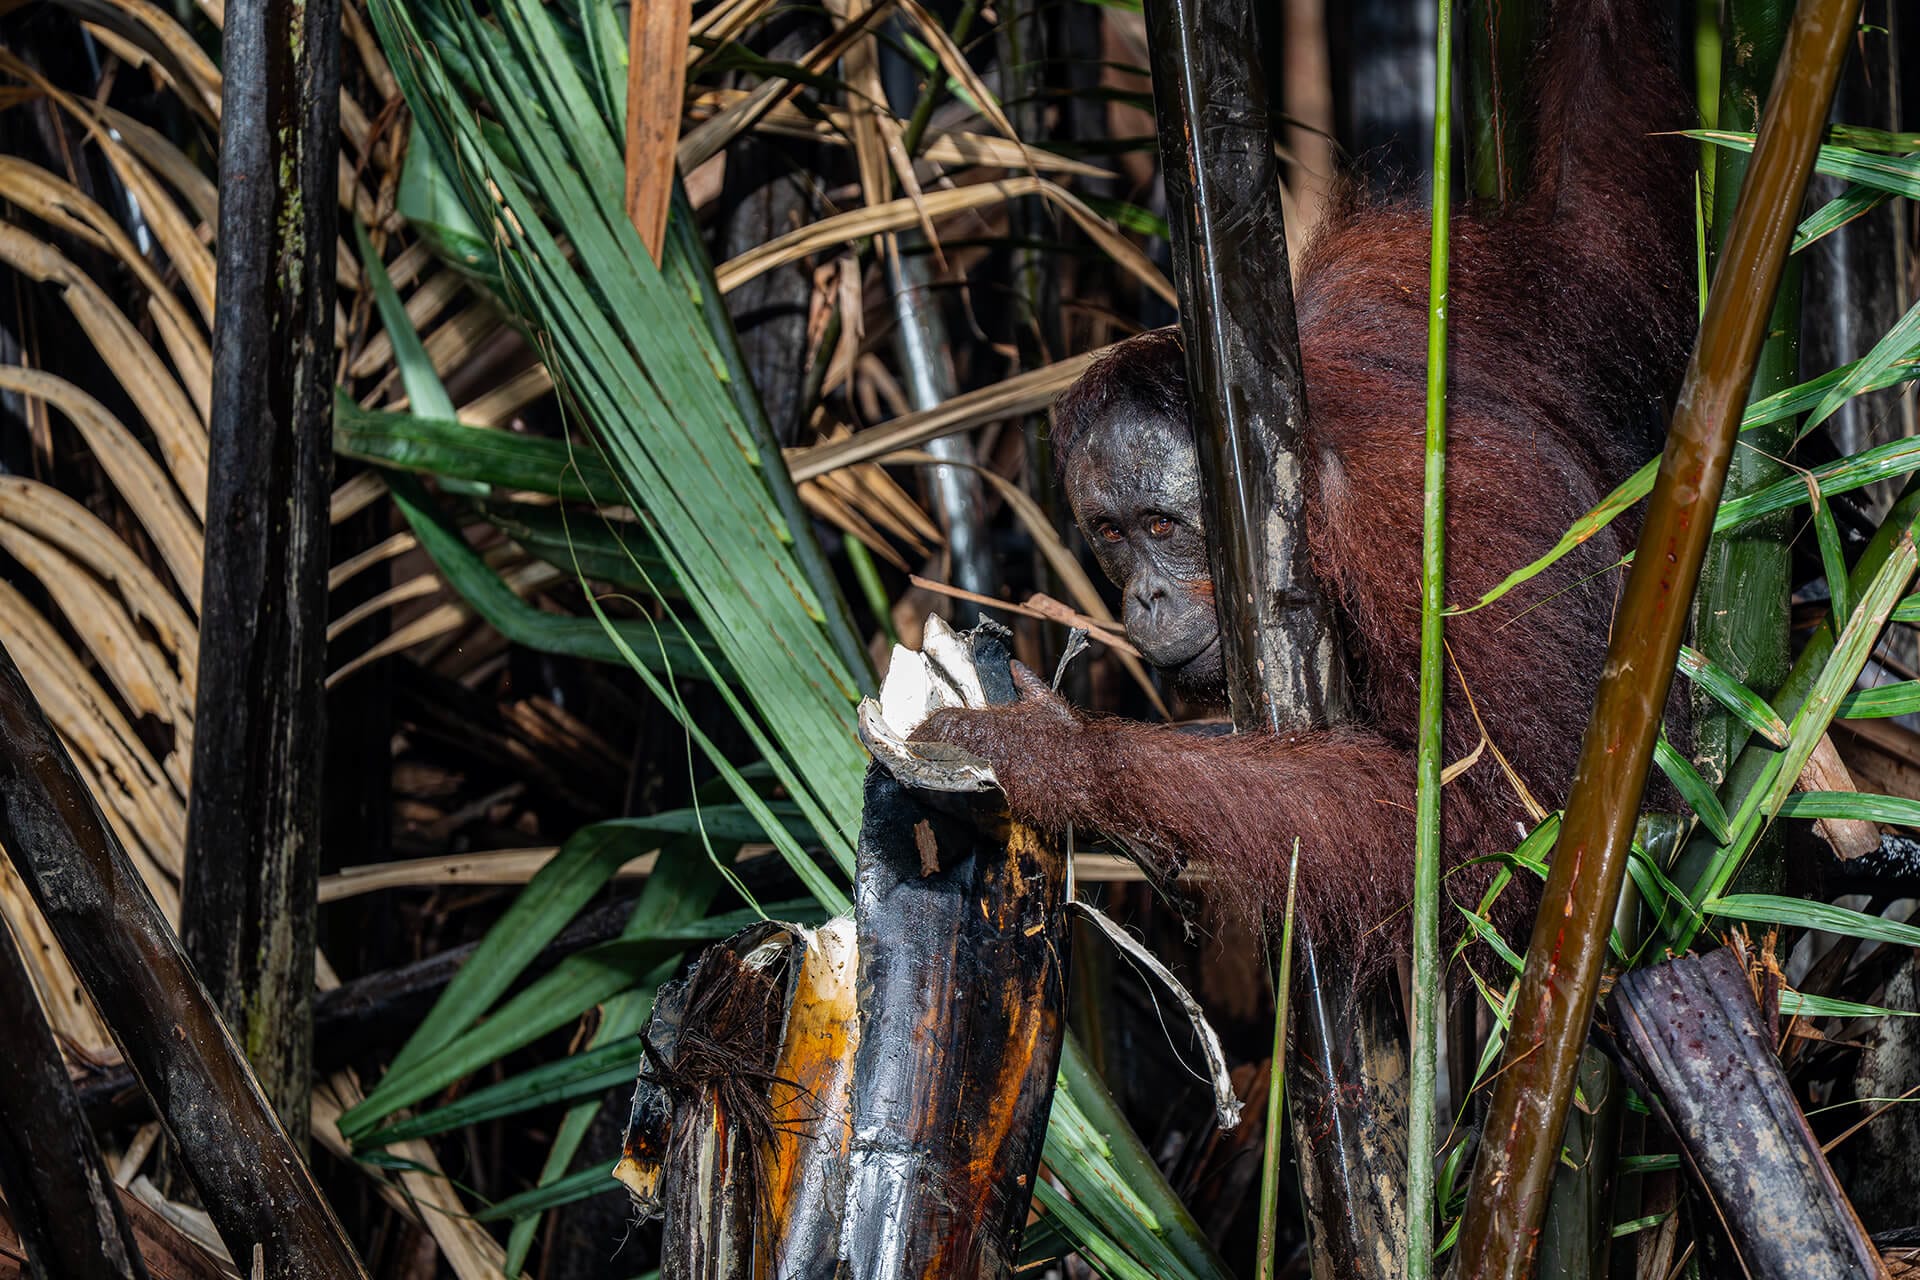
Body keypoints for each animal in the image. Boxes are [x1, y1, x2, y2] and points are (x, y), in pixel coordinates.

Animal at [909, 0, 1697, 964]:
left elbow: (1505, 826)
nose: (1144, 599)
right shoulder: (1417, 281)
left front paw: (1055, 756)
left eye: (1161, 526)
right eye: (1111, 534)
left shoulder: (1434, 530)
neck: (1305, 463)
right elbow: (1592, 229)